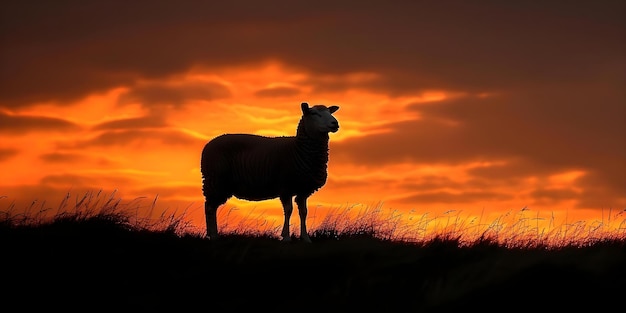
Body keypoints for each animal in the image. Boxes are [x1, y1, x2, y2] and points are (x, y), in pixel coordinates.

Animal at [200, 102, 338, 241]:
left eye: (330, 112)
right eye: (314, 113)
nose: (335, 123)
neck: (297, 150)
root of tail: (207, 145)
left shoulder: (303, 189)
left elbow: (303, 212)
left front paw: (305, 238)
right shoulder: (285, 188)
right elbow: (288, 211)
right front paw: (286, 237)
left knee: (210, 207)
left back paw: (211, 234)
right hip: (216, 181)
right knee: (210, 207)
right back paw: (213, 235)